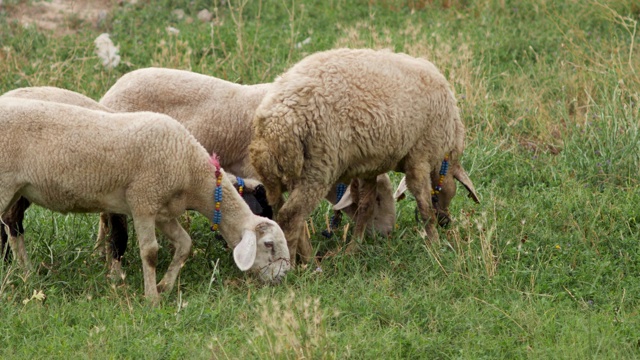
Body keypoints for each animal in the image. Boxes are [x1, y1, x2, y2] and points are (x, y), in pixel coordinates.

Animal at [0, 96, 290, 304]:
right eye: (268, 244)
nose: (284, 277)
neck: (191, 173)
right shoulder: (143, 200)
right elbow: (150, 252)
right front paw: (151, 298)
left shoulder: (163, 211)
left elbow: (185, 244)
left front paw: (165, 286)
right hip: (5, 184)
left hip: (17, 190)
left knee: (11, 224)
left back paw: (26, 273)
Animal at [250, 47, 480, 262]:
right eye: (451, 192)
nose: (445, 222)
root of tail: (275, 125)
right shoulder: (420, 157)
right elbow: (424, 206)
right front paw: (435, 245)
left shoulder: (370, 166)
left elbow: (366, 207)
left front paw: (354, 247)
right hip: (317, 168)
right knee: (291, 216)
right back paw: (296, 265)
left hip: (280, 177)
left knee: (280, 212)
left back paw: (307, 257)